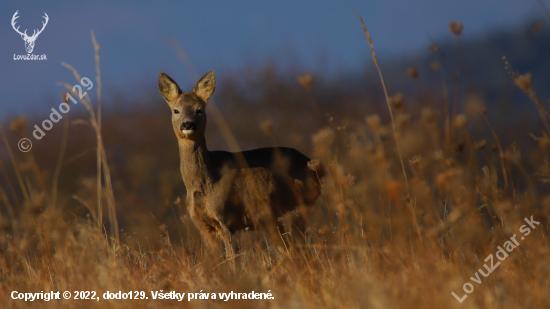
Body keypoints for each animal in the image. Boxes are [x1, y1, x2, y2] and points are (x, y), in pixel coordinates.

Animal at [158, 71, 324, 256]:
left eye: (199, 110)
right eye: (176, 110)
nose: (188, 124)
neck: (207, 181)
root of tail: (316, 167)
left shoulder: (228, 220)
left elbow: (233, 259)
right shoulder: (203, 225)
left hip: (296, 208)